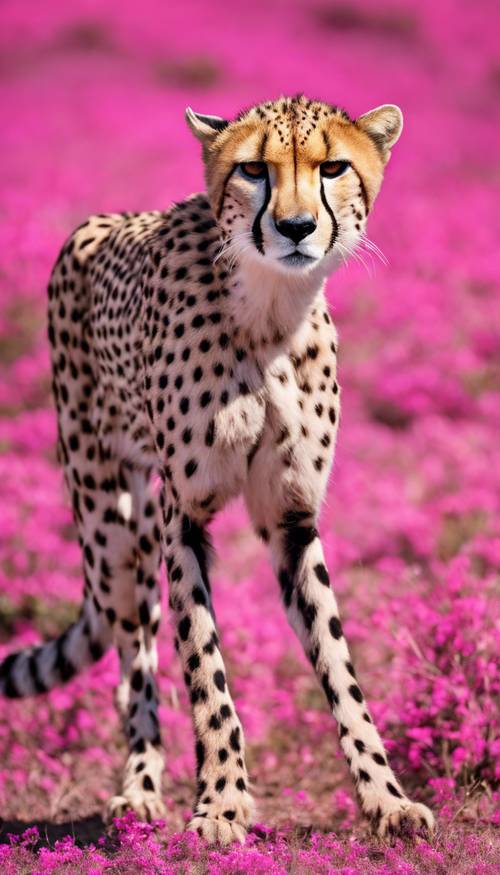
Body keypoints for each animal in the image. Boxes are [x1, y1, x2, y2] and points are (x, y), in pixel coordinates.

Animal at [0, 94, 434, 840]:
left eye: (334, 167)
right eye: (254, 170)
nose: (295, 227)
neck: (269, 312)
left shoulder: (292, 520)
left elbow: (341, 667)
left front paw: (386, 797)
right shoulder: (186, 518)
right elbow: (206, 672)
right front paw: (223, 803)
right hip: (109, 531)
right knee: (132, 663)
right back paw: (141, 788)